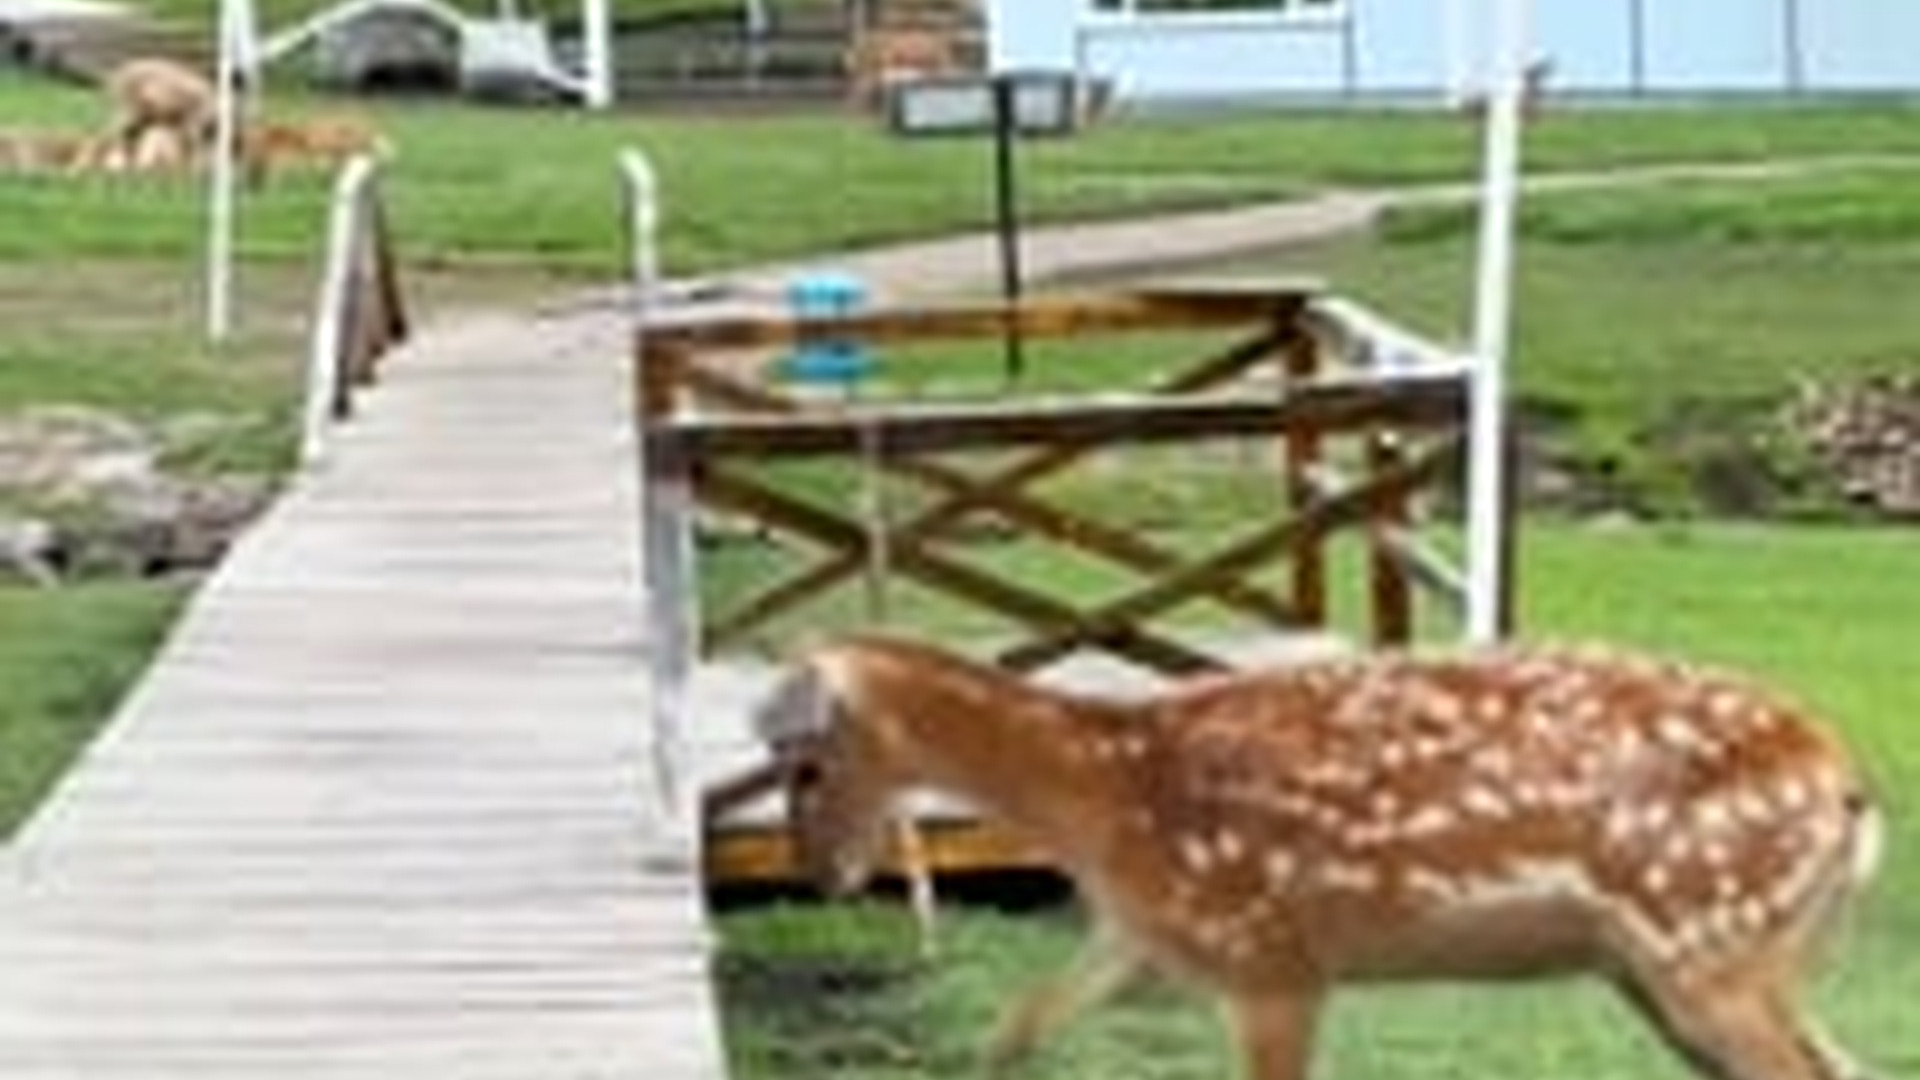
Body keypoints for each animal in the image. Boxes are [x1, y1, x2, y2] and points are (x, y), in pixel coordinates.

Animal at [754, 633, 1884, 1080]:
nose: (822, 874)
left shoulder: (1270, 958)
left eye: (803, 763)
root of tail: (1848, 788)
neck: (1109, 796)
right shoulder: (1139, 938)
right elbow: (1013, 1031)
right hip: (1679, 965)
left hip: (1708, 941)